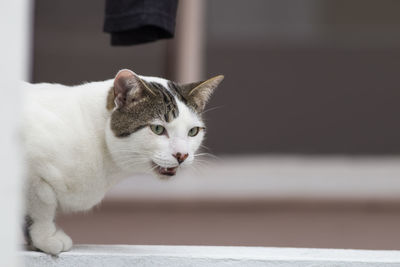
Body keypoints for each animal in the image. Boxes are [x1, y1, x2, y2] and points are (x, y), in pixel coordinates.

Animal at [21, 69, 223, 255]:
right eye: (157, 129)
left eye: (193, 131)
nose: (182, 155)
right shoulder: (32, 170)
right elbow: (42, 205)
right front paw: (45, 237)